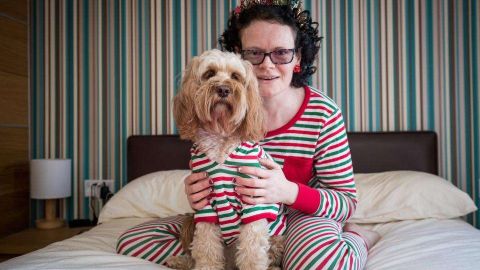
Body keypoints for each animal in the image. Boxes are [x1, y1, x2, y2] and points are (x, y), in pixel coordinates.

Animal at [168, 49, 284, 270]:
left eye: (235, 76)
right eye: (209, 74)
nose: (222, 89)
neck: (221, 135)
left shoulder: (253, 201)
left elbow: (252, 252)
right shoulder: (205, 204)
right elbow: (206, 248)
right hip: (190, 222)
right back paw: (179, 260)